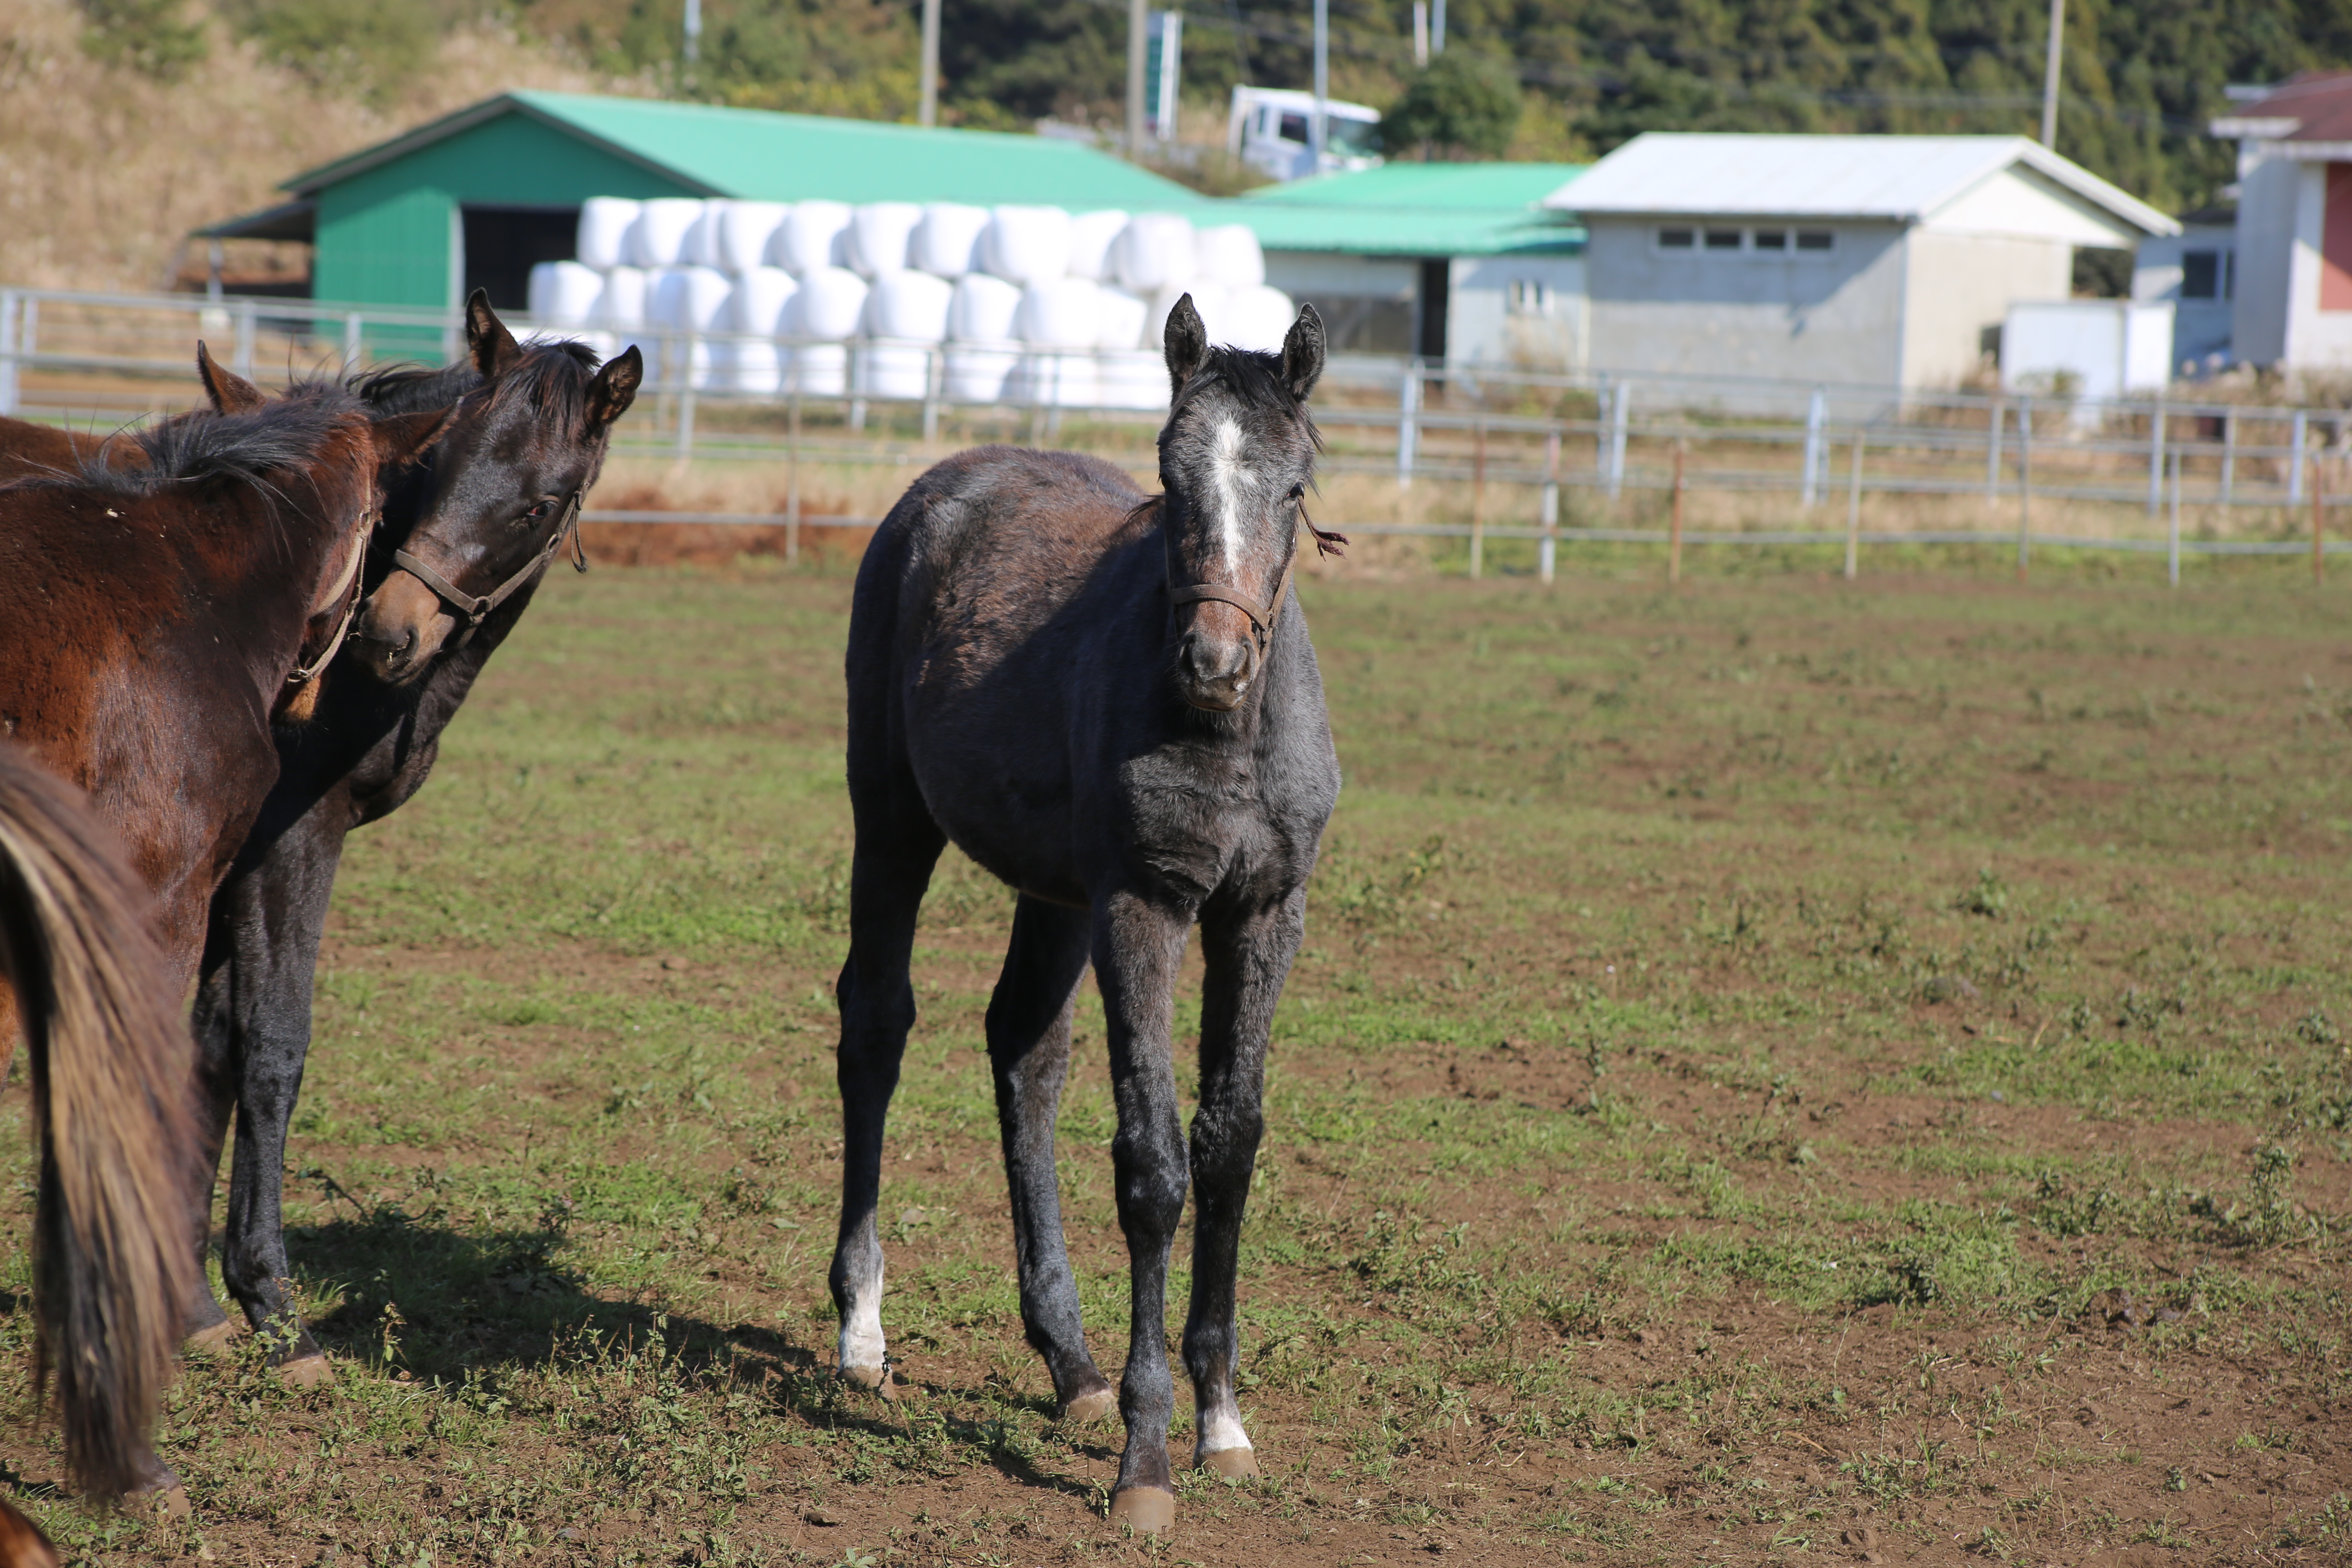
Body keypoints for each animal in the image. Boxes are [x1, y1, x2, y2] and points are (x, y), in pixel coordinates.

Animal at [828, 294, 1345, 1532]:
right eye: (1168, 473)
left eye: (1294, 485)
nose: (1213, 659)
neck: (1226, 736)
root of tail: (943, 482)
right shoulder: (1142, 909)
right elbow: (1151, 1165)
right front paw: (1147, 1458)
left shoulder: (1265, 913)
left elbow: (1228, 1144)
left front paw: (1221, 1420)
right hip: (894, 820)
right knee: (875, 1025)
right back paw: (862, 1329)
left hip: (1052, 891)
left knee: (1023, 1049)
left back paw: (1068, 1360)